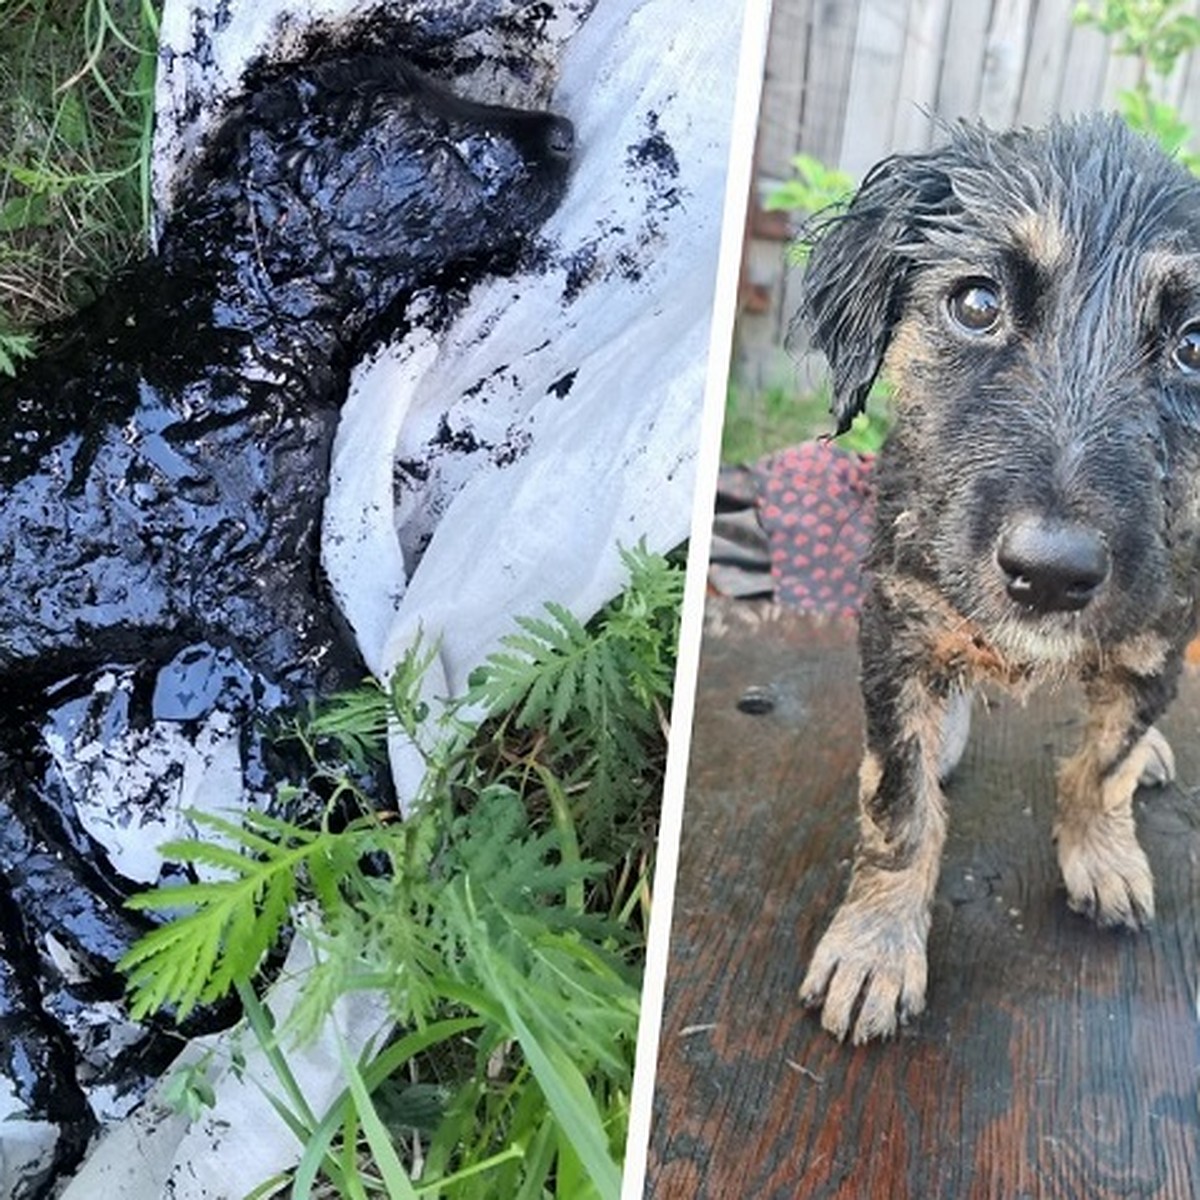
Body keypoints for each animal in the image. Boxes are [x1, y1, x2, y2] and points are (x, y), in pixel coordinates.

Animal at [796, 117, 1200, 1046]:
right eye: (976, 304)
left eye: (1198, 344)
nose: (1051, 574)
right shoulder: (897, 621)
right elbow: (899, 804)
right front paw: (875, 949)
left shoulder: (1160, 635)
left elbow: (1103, 763)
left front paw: (1103, 855)